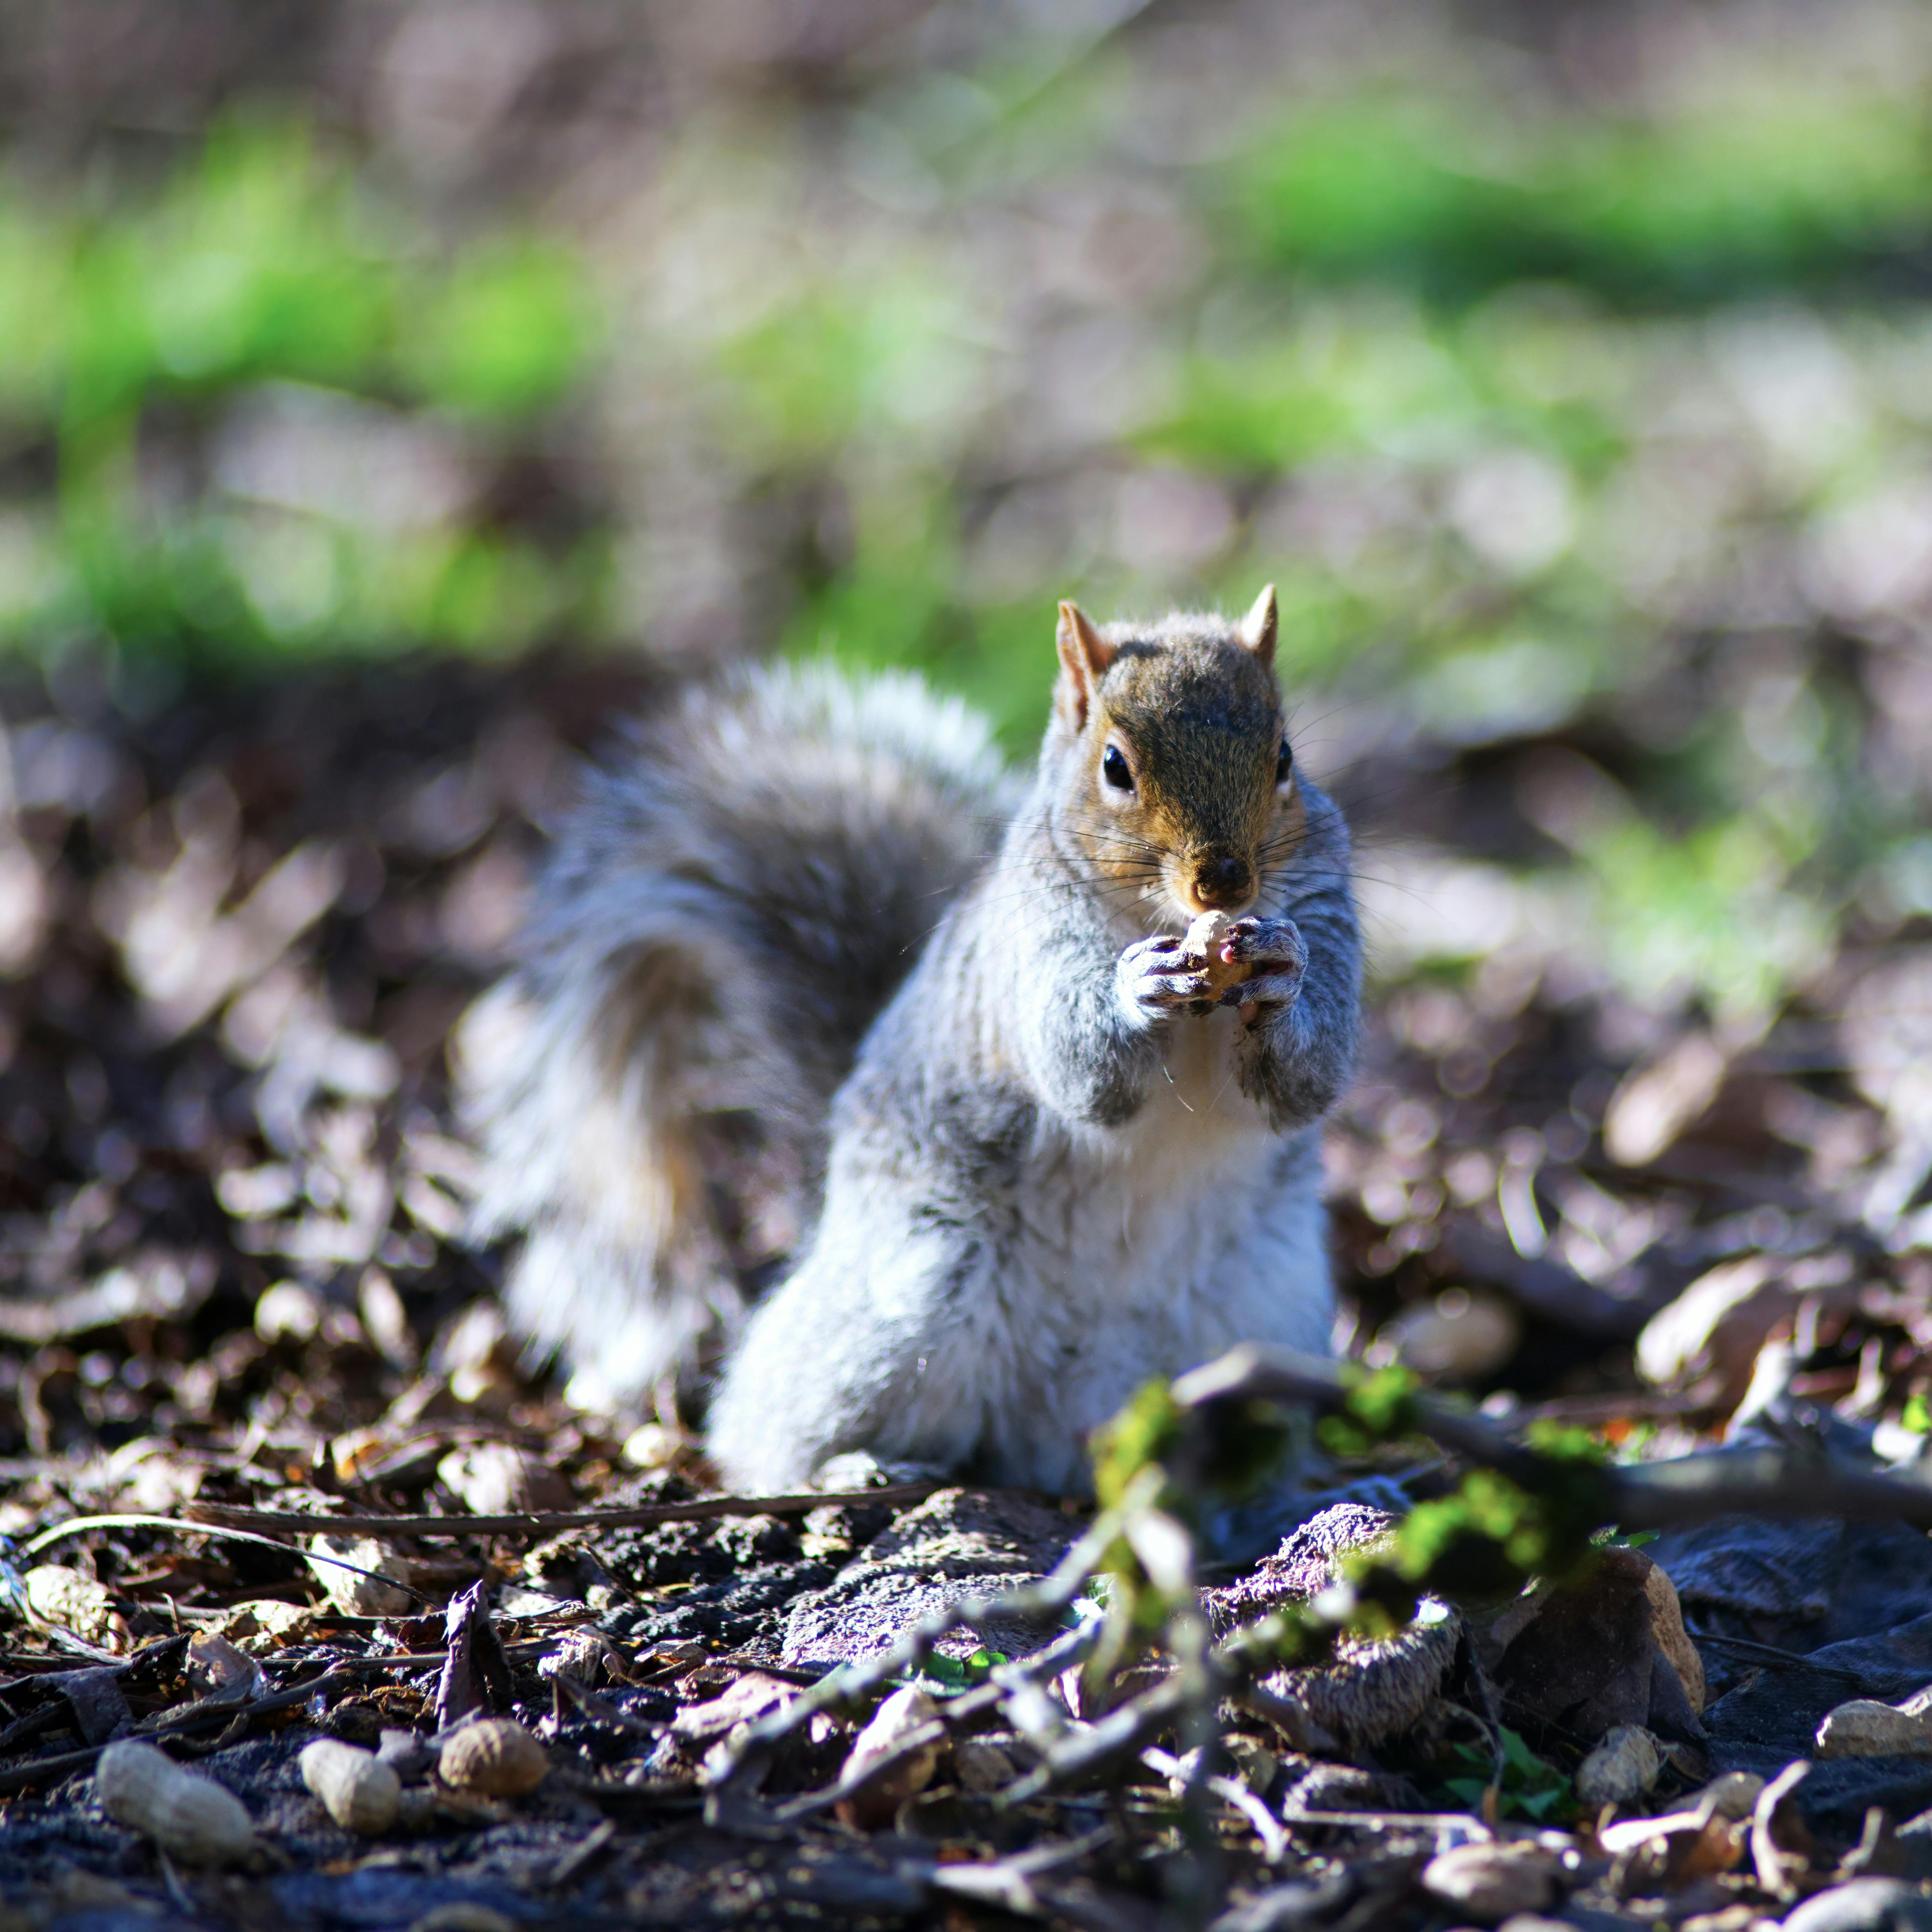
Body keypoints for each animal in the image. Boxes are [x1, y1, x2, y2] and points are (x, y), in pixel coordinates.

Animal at [456, 587, 1360, 1494]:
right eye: (1114, 766)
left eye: (1284, 757)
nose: (1225, 883)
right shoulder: (1025, 950)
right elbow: (1079, 1070)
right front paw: (1135, 987)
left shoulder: (1328, 902)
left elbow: (1306, 1080)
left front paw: (1281, 972)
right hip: (913, 1294)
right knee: (761, 1423)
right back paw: (845, 1466)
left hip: (1266, 1318)